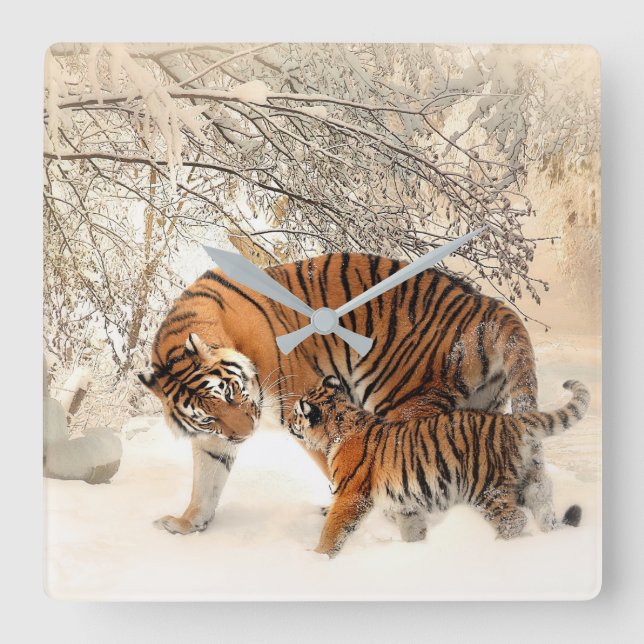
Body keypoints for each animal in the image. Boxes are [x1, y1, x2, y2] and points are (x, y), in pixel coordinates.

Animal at [138, 252, 561, 538]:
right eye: (207, 416)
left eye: (229, 393)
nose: (245, 435)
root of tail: (486, 304)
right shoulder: (214, 438)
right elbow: (206, 481)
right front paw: (187, 523)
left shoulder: (303, 404)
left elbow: (341, 467)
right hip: (481, 409)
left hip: (405, 402)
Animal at [288, 376, 589, 558]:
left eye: (295, 413)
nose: (288, 422)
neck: (339, 426)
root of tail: (512, 421)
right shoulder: (405, 503)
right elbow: (412, 529)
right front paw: (417, 550)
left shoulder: (351, 496)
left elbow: (333, 529)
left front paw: (317, 558)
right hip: (531, 481)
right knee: (544, 508)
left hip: (485, 488)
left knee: (514, 520)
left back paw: (497, 547)